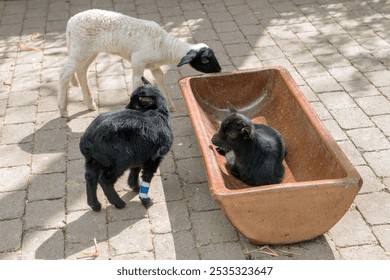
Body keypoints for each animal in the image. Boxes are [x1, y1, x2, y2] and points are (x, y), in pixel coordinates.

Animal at [58, 8, 222, 116]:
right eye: (205, 60)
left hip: (89, 52)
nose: (219, 70)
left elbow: (161, 82)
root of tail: (70, 22)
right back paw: (63, 109)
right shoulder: (138, 62)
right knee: (64, 74)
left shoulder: (155, 67)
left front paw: (169, 106)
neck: (165, 46)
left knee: (81, 72)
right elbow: (137, 84)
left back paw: (90, 104)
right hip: (79, 48)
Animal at [77, 76, 172, 210]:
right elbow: (147, 177)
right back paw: (118, 203)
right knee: (104, 179)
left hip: (94, 160)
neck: (158, 112)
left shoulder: (141, 153)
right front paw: (145, 199)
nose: (126, 108)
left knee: (90, 177)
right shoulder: (154, 157)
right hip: (120, 160)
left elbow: (135, 171)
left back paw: (95, 205)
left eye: (136, 104)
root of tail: (87, 140)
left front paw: (134, 186)